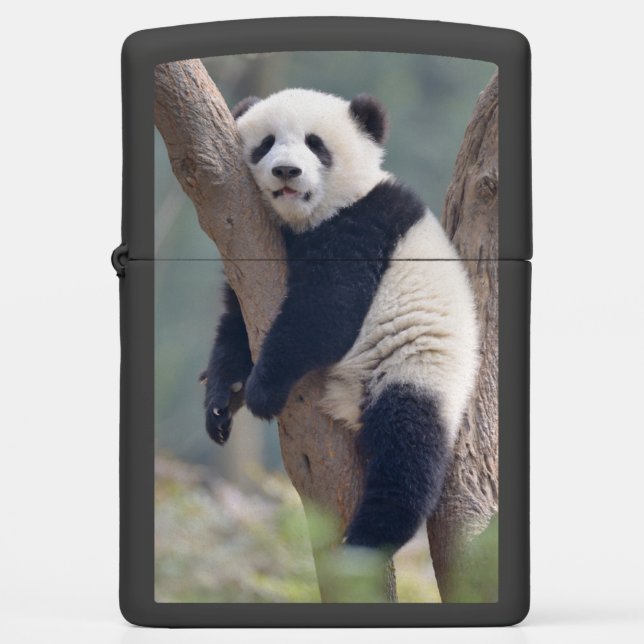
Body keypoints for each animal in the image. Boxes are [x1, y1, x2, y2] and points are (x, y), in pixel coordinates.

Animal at [202, 88, 479, 554]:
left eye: (316, 144)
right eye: (266, 143)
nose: (286, 170)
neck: (308, 220)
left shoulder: (366, 225)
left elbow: (326, 313)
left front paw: (262, 390)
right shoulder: (247, 249)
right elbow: (237, 322)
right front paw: (222, 400)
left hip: (418, 369)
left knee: (408, 447)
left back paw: (368, 541)